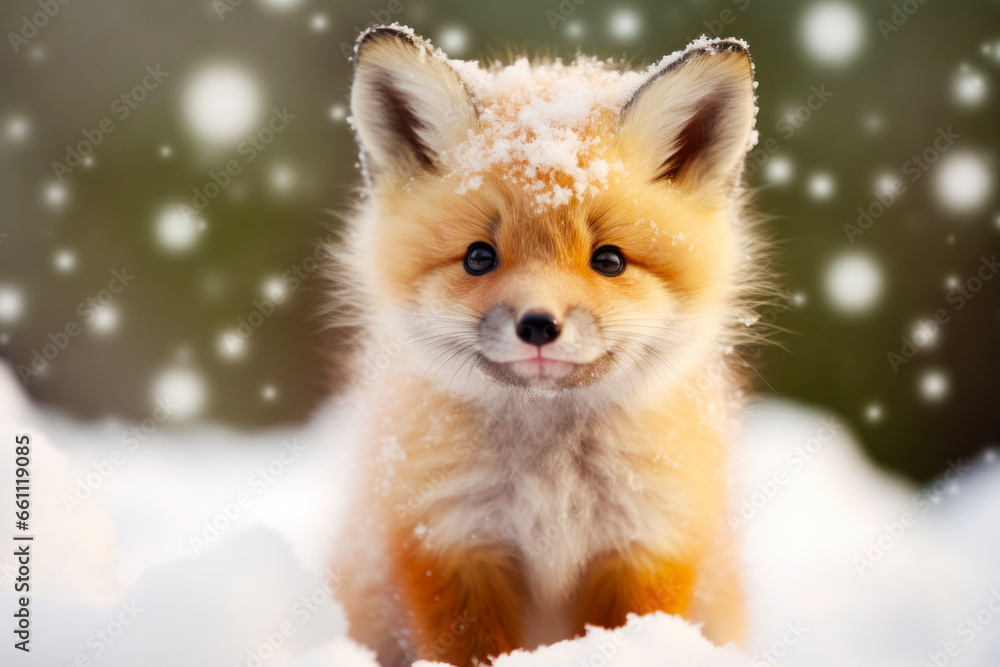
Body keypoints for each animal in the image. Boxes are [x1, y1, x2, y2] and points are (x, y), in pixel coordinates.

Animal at [328, 24, 770, 667]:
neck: (552, 482)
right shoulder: (448, 539)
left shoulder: (648, 540)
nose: (538, 325)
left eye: (608, 260)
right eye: (478, 257)